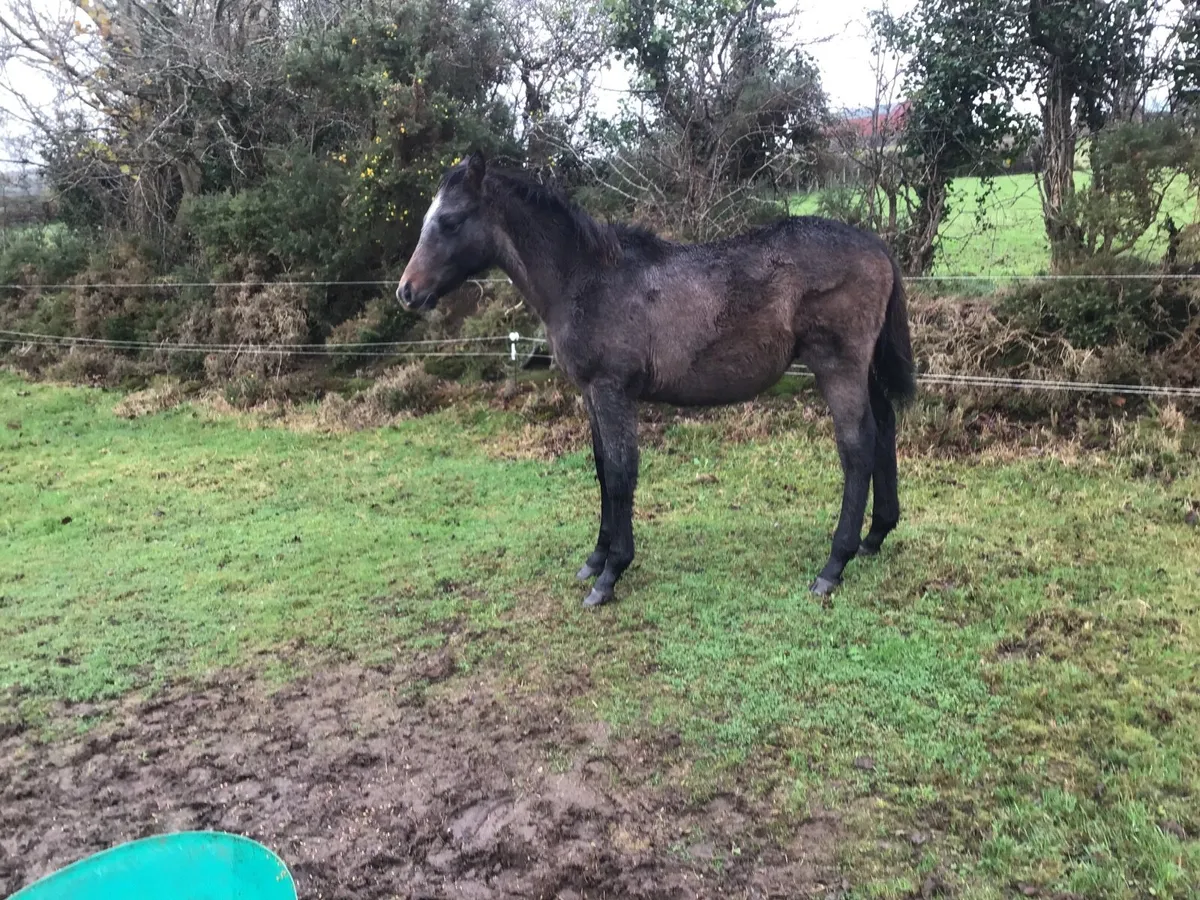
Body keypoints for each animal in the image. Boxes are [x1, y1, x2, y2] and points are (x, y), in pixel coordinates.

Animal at [398, 151, 912, 609]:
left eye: (449, 221)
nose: (407, 292)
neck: (587, 278)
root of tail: (877, 247)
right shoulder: (591, 394)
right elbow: (602, 468)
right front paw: (595, 557)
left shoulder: (612, 390)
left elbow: (621, 472)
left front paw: (610, 574)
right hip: (862, 369)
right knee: (884, 427)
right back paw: (875, 535)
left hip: (837, 365)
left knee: (856, 446)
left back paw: (834, 565)